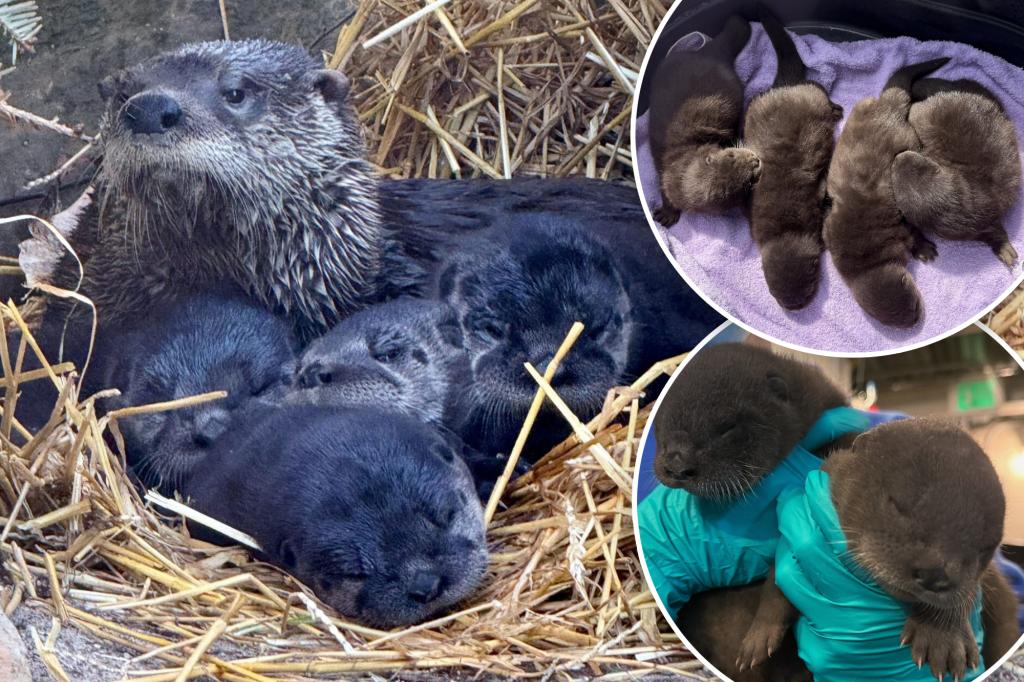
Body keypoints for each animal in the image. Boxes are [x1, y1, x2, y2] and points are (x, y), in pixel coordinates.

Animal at [743, 7, 843, 310]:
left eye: (811, 277)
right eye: (772, 288)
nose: (794, 306)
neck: (785, 227)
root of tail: (784, 85)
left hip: (811, 94)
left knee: (816, 84)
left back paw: (836, 109)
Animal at [757, 418, 1015, 681]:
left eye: (984, 548)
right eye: (897, 503)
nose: (936, 573)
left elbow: (967, 593)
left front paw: (943, 636)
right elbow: (777, 580)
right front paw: (761, 632)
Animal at [823, 58, 950, 328]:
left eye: (914, 304)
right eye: (894, 324)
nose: (915, 322)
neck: (867, 259)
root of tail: (887, 104)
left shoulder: (899, 232)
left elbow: (913, 232)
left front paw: (925, 250)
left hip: (906, 136)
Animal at [891, 78, 1021, 266]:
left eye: (917, 160)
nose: (898, 156)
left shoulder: (981, 219)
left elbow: (993, 230)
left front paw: (1003, 247)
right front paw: (922, 247)